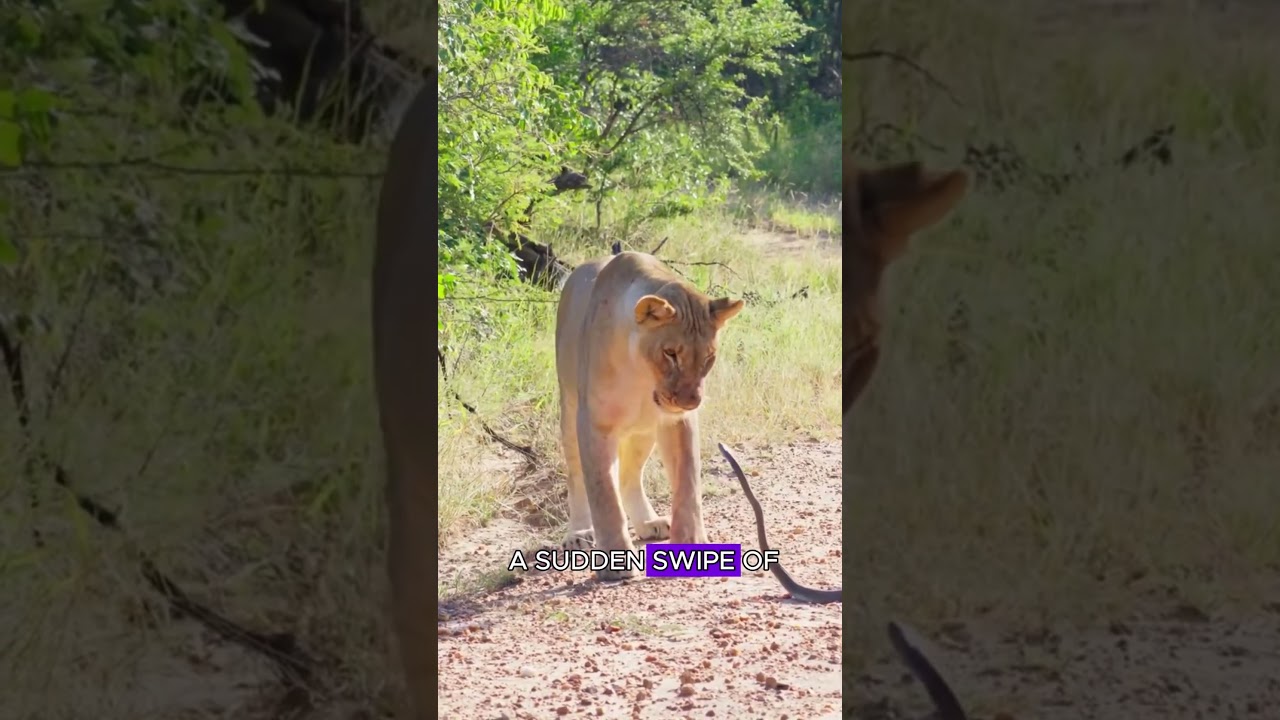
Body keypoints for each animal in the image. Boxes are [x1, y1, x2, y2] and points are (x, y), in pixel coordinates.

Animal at [553, 251, 744, 580]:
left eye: (708, 358)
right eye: (670, 353)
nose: (691, 400)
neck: (642, 374)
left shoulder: (678, 421)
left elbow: (687, 483)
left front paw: (691, 543)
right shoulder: (595, 423)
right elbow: (603, 492)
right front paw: (614, 561)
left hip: (643, 431)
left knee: (630, 475)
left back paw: (648, 523)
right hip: (570, 411)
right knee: (576, 475)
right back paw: (579, 532)